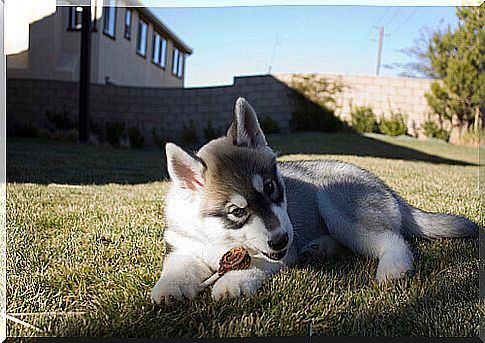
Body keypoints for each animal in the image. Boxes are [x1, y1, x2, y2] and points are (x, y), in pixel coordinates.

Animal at [151, 97, 476, 304]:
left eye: (271, 187)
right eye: (236, 211)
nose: (281, 240)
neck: (218, 238)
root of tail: (385, 186)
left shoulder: (277, 254)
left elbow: (252, 263)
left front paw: (231, 283)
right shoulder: (182, 246)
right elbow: (177, 268)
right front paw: (168, 288)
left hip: (336, 203)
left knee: (393, 239)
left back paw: (393, 268)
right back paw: (320, 248)